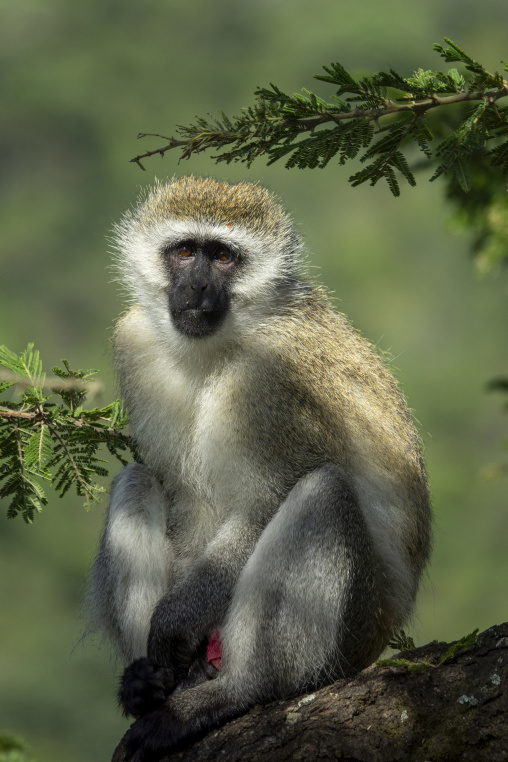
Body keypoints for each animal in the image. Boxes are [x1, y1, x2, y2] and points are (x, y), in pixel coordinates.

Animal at [87, 176, 431, 761]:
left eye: (225, 258)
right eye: (185, 252)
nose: (198, 288)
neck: (220, 347)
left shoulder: (271, 384)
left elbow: (264, 502)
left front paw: (177, 622)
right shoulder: (135, 340)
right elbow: (185, 498)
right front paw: (159, 663)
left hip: (358, 630)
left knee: (322, 493)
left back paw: (228, 694)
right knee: (137, 480)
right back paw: (153, 687)